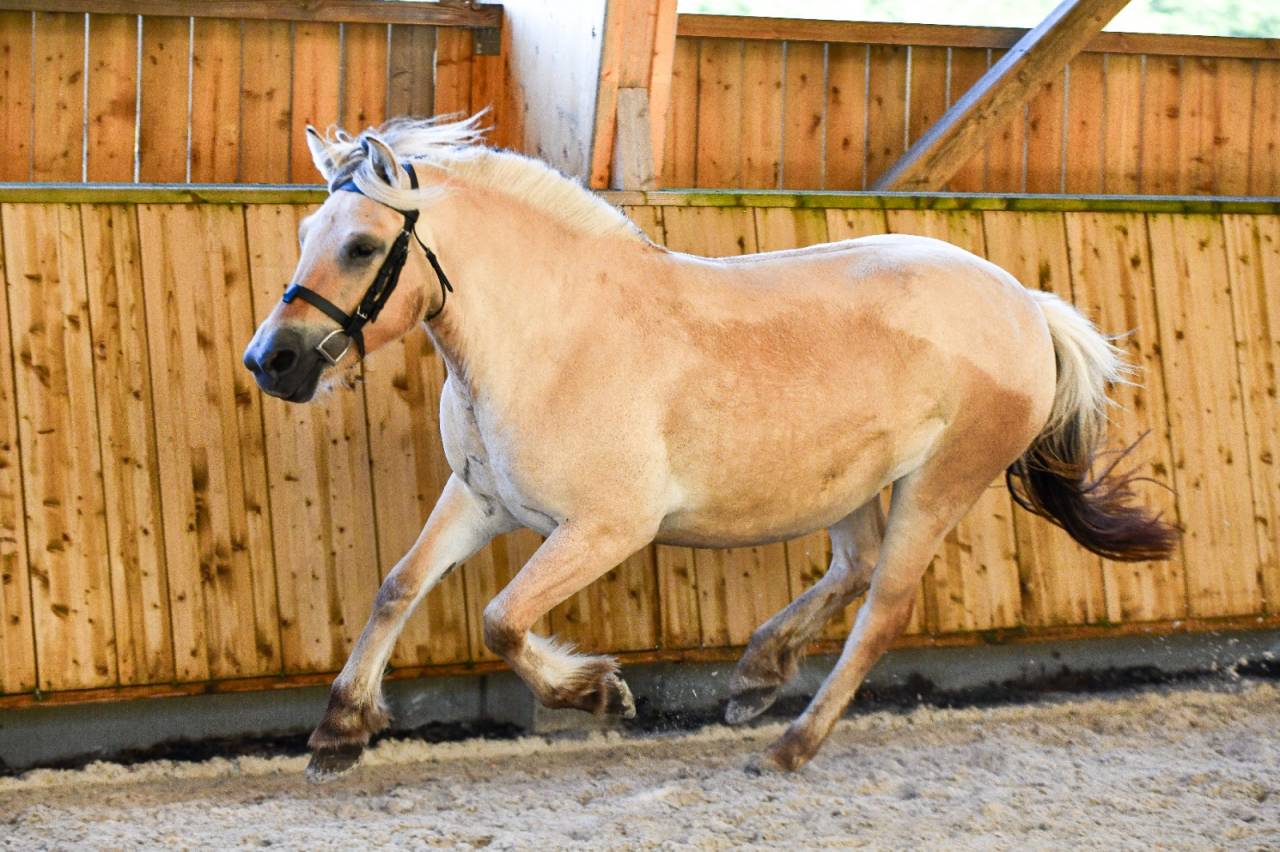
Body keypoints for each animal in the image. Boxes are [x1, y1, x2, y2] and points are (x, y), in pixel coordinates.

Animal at [243, 116, 1177, 778]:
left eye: (362, 245)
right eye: (305, 232)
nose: (271, 361)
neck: (552, 335)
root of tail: (1025, 302)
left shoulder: (606, 529)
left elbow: (501, 621)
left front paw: (600, 692)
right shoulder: (480, 499)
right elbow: (398, 587)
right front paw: (338, 732)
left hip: (940, 484)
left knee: (882, 610)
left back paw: (789, 745)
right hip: (853, 486)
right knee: (855, 570)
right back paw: (757, 678)